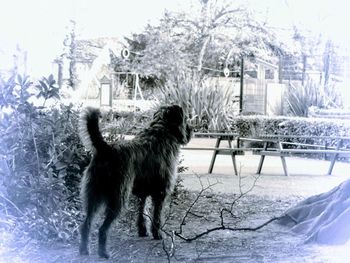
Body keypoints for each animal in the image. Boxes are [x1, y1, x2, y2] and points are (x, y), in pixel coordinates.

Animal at [78, 104, 191, 258]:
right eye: (185, 118)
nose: (191, 130)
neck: (162, 130)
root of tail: (106, 149)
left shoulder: (142, 193)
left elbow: (141, 211)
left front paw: (142, 230)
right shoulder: (161, 193)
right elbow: (156, 216)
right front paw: (157, 234)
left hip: (93, 196)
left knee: (86, 224)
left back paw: (84, 249)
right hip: (117, 198)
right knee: (102, 229)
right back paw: (103, 252)